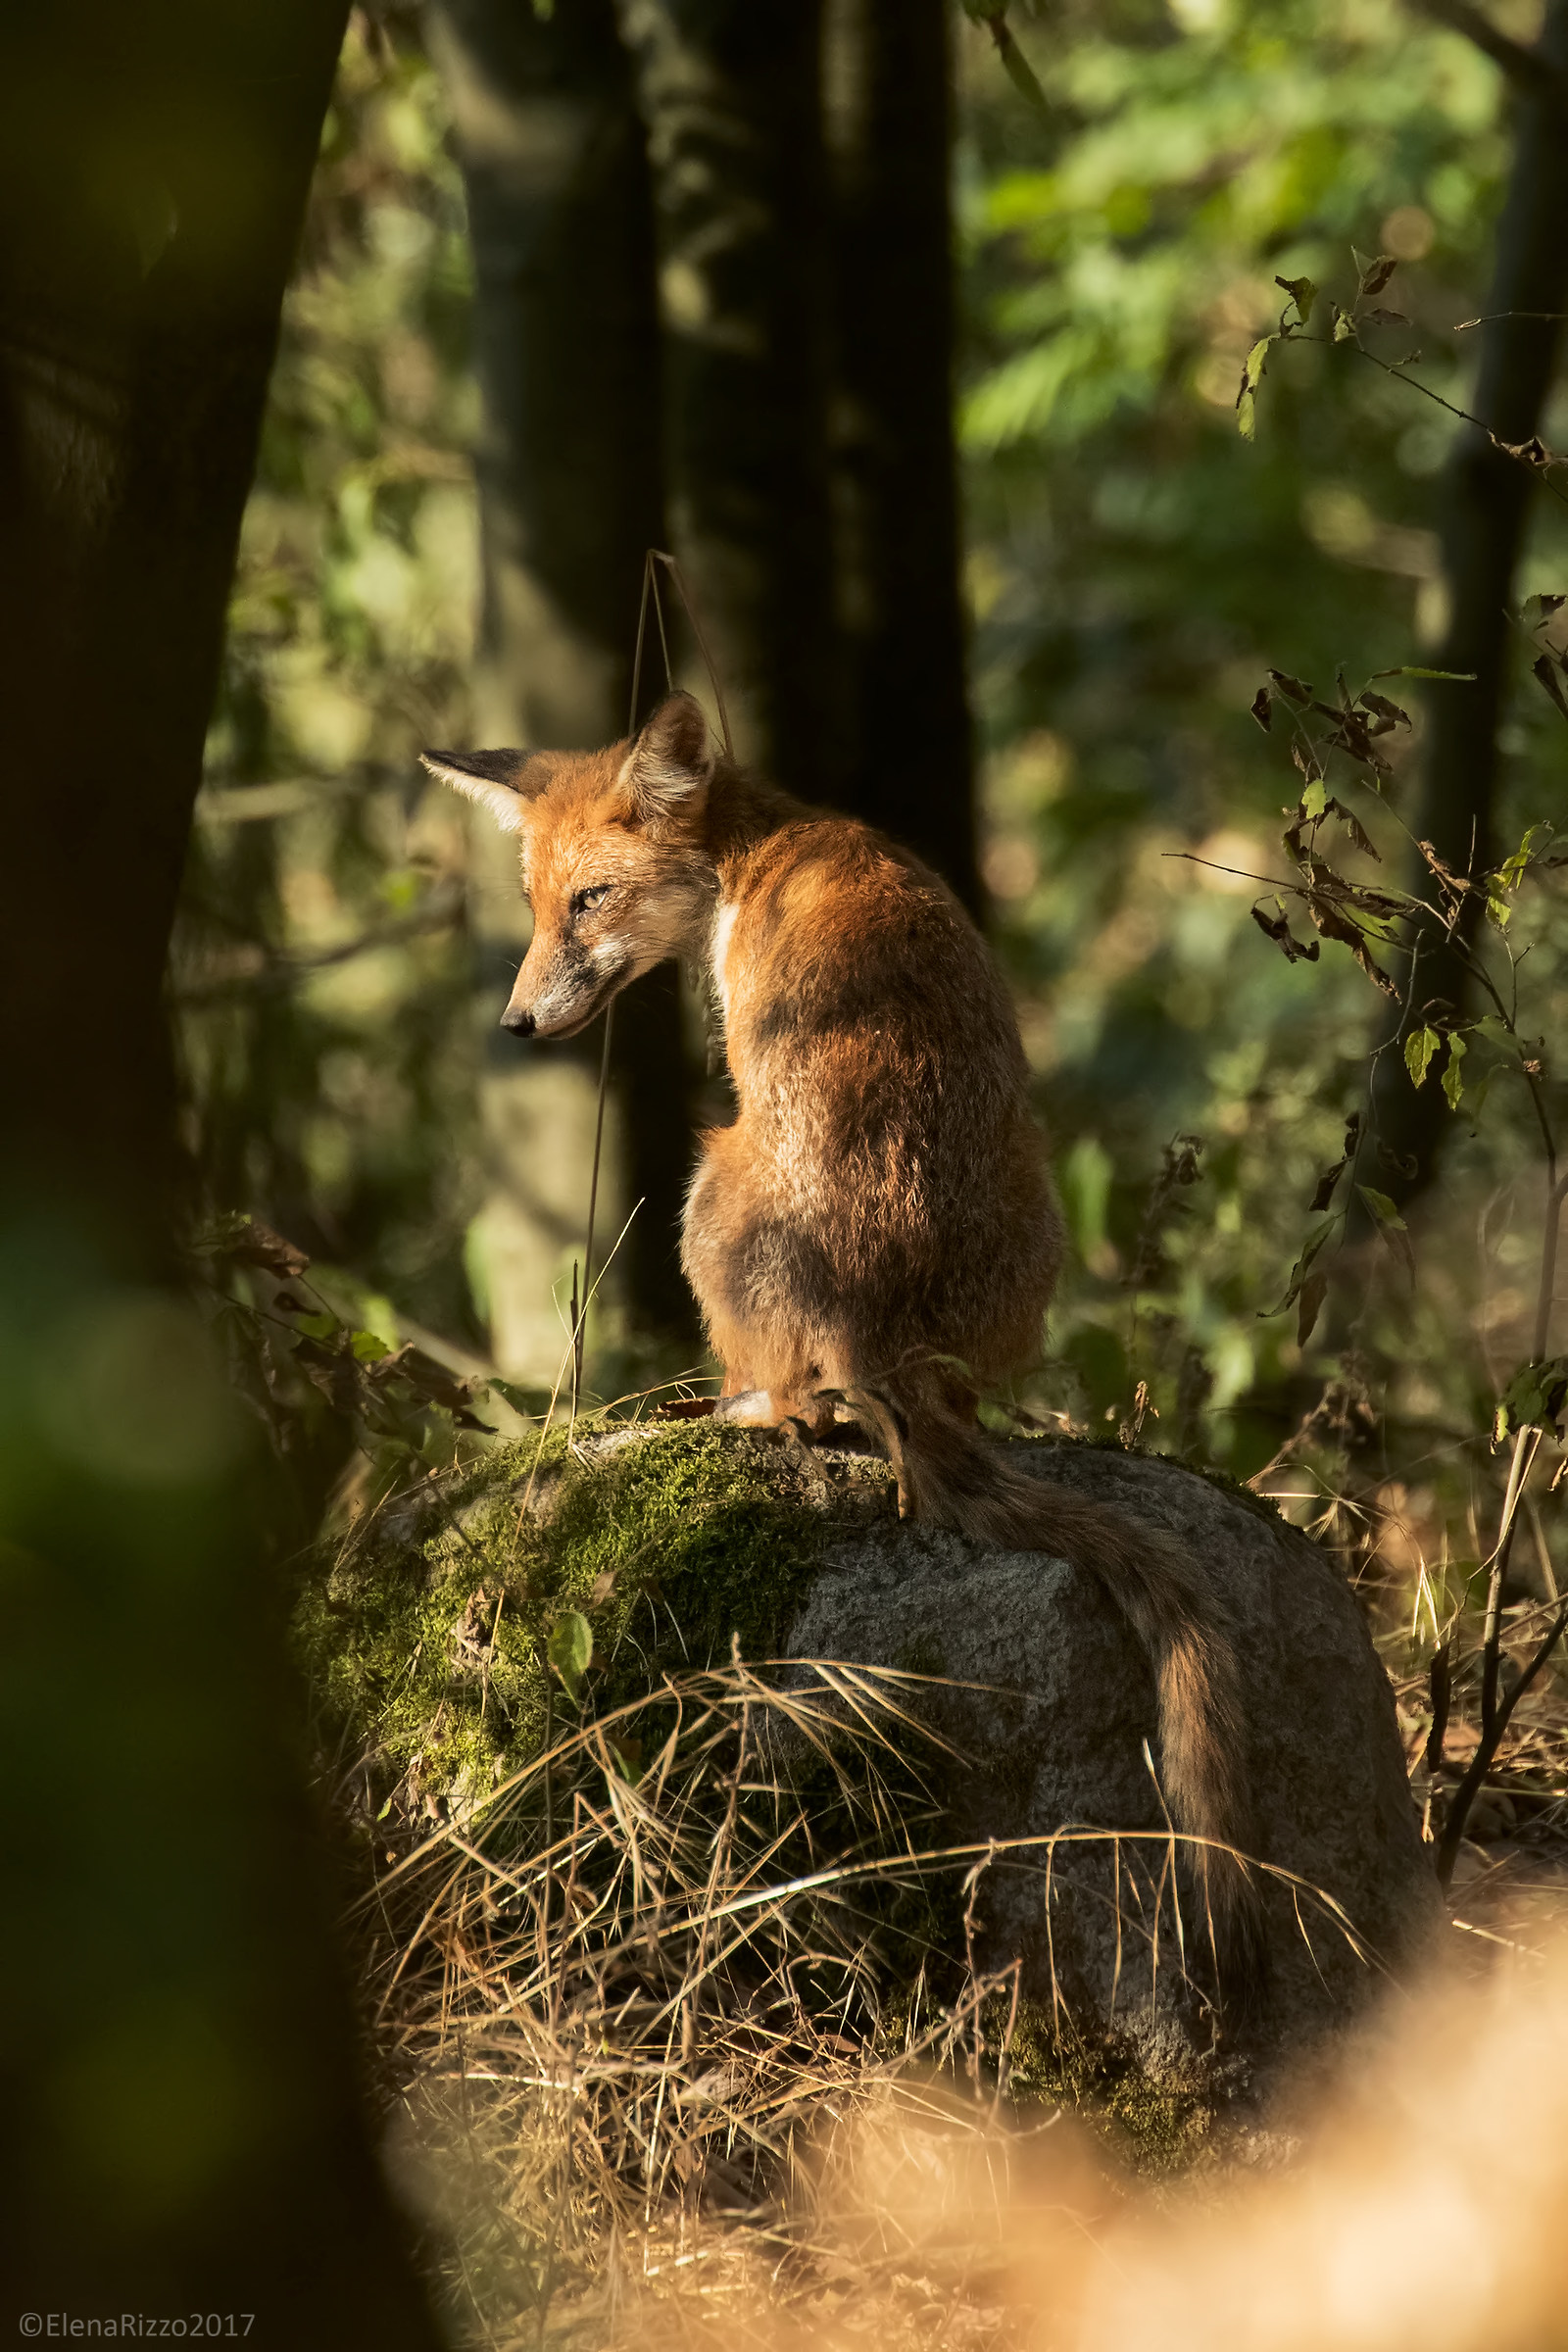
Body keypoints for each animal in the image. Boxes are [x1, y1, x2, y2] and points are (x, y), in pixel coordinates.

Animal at [422, 691, 1264, 1999]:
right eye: (535, 903)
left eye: (590, 901)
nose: (512, 1022)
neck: (762, 851)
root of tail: (888, 1337)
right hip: (1031, 1210)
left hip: (705, 1181)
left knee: (794, 1402)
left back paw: (729, 1410)